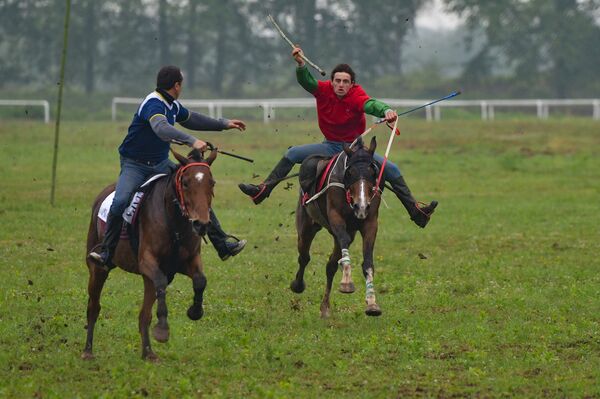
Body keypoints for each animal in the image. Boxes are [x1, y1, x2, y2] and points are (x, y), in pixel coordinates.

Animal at [83, 148, 217, 360]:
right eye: (185, 183)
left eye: (211, 183)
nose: (201, 224)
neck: (175, 224)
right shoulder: (148, 262)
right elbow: (161, 282)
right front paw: (162, 330)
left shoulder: (187, 261)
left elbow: (200, 280)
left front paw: (195, 311)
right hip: (98, 268)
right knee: (93, 307)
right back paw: (88, 351)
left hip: (147, 279)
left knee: (143, 315)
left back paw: (148, 352)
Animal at [292, 138, 384, 318]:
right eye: (350, 173)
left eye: (373, 172)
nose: (361, 206)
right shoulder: (336, 218)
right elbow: (344, 240)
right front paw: (347, 281)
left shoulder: (370, 223)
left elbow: (368, 261)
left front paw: (372, 302)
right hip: (306, 225)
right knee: (304, 256)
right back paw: (298, 285)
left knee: (330, 266)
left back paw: (325, 307)